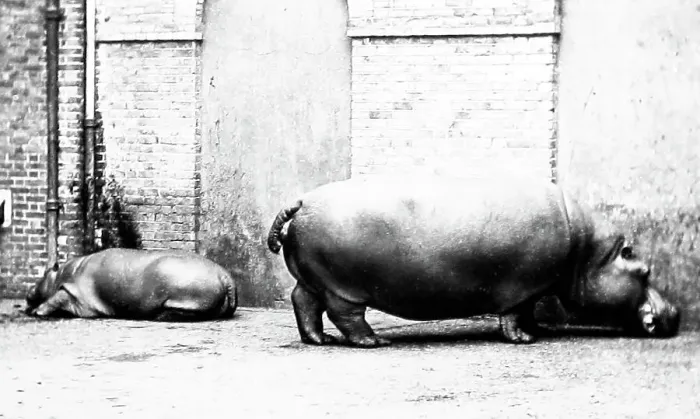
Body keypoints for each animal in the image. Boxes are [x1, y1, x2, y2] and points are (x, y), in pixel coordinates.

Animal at [26, 248, 238, 321]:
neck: (62, 273)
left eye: (43, 272)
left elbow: (56, 297)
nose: (28, 292)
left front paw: (37, 312)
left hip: (186, 296)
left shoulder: (76, 294)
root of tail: (225, 276)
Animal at [267, 174, 680, 347]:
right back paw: (374, 342)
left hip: (313, 278)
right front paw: (526, 339)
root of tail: (302, 202)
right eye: (645, 270)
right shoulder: (526, 285)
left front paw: (536, 330)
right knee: (347, 316)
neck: (589, 253)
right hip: (343, 287)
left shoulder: (534, 286)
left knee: (304, 303)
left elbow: (527, 312)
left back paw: (320, 340)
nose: (675, 312)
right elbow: (515, 314)